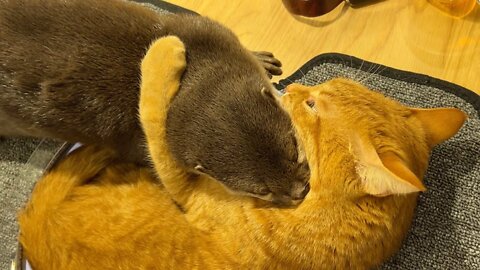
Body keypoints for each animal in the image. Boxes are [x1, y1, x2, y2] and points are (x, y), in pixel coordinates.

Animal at [17, 36, 464, 270]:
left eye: (312, 105)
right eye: (319, 91)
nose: (297, 88)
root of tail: (35, 233)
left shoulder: (184, 184)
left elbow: (153, 111)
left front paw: (165, 51)